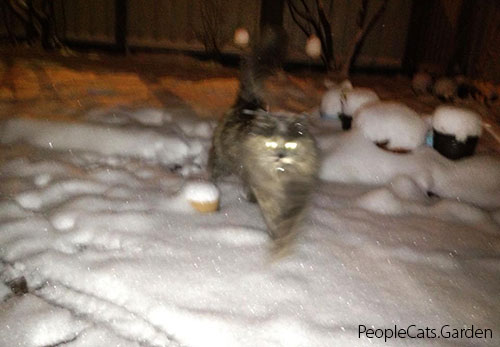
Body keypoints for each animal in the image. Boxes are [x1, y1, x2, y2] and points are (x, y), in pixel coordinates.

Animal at [208, 25, 318, 253]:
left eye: (291, 145)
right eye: (270, 143)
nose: (280, 156)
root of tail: (247, 102)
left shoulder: (299, 192)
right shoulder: (266, 192)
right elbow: (273, 214)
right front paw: (276, 236)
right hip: (224, 161)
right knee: (213, 170)